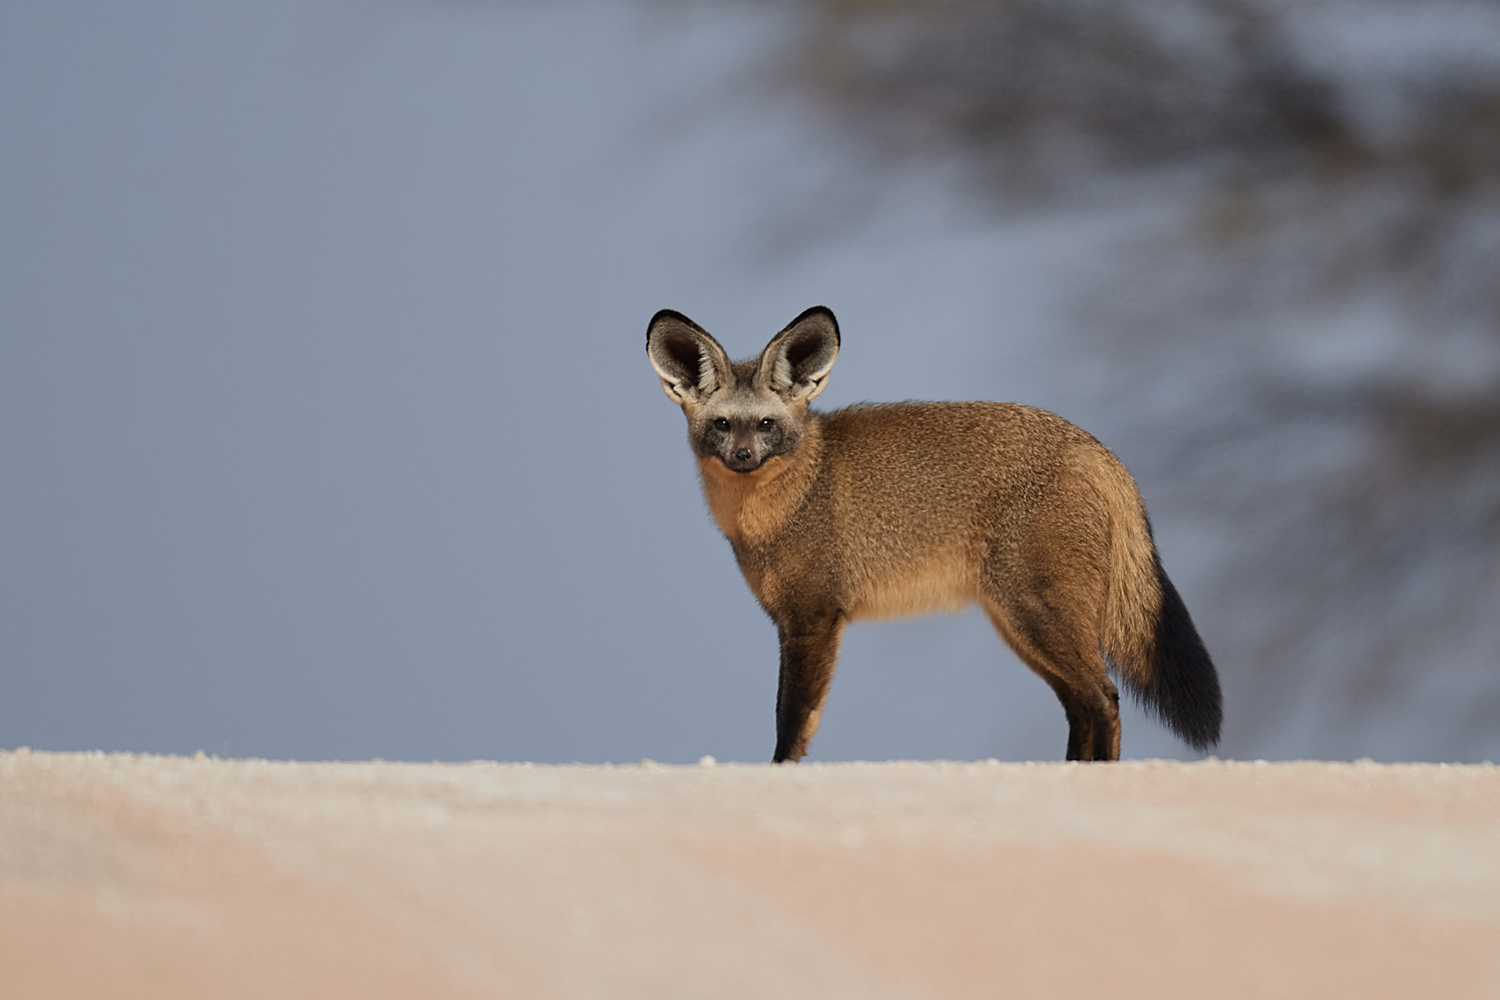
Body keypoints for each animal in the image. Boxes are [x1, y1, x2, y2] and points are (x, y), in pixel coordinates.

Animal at [646, 305, 1222, 763]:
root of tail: (1098, 450)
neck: (790, 503)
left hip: (1037, 617)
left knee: (1104, 699)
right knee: (1082, 707)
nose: (743, 456)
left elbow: (792, 725)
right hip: (1022, 628)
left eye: (765, 425)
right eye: (723, 425)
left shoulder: (813, 618)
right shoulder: (794, 619)